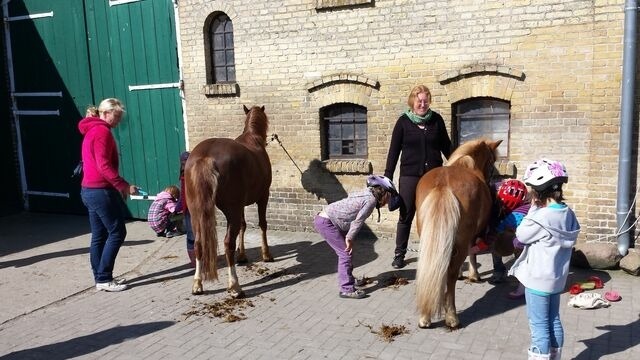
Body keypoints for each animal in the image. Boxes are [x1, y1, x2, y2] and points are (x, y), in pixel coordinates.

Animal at [186, 104, 274, 298]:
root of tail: (205, 157)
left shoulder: (241, 205)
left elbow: (243, 225)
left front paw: (242, 256)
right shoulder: (263, 197)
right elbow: (262, 224)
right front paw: (266, 254)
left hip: (196, 213)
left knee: (198, 243)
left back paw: (197, 284)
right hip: (231, 210)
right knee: (227, 243)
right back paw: (234, 286)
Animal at [416, 139, 500, 330]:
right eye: (492, 162)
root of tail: (443, 184)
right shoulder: (471, 236)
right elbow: (472, 253)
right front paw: (473, 275)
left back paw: (425, 317)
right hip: (461, 239)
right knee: (451, 273)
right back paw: (452, 317)